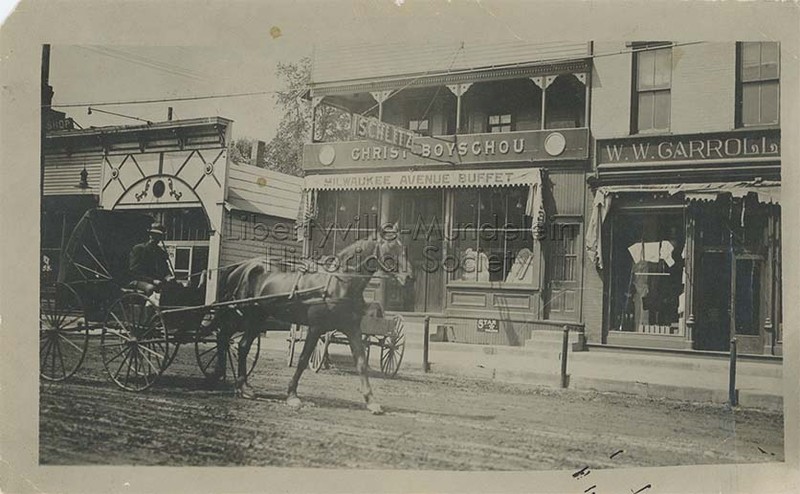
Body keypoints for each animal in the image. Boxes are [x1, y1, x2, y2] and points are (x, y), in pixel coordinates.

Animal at [208, 230, 412, 414]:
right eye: (390, 247)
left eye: (403, 246)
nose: (409, 276)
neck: (340, 282)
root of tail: (241, 267)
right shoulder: (316, 328)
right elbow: (303, 359)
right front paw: (292, 395)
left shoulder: (352, 329)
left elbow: (361, 362)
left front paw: (371, 401)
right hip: (244, 315)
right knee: (230, 340)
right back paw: (232, 382)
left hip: (256, 318)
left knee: (235, 343)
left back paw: (234, 382)